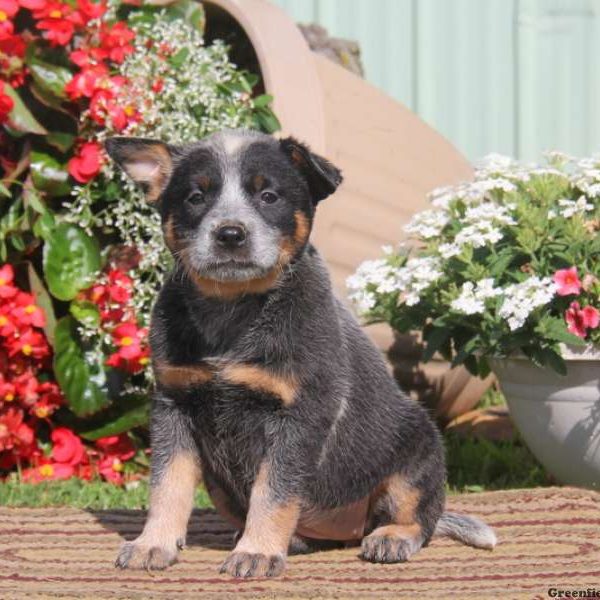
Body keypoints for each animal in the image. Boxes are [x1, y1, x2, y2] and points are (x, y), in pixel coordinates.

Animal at [104, 130, 496, 576]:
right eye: (196, 197)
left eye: (268, 195)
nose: (230, 233)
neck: (232, 310)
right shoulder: (173, 403)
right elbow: (166, 484)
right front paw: (153, 543)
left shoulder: (300, 413)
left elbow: (273, 491)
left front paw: (257, 552)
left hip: (419, 446)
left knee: (419, 517)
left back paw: (391, 537)